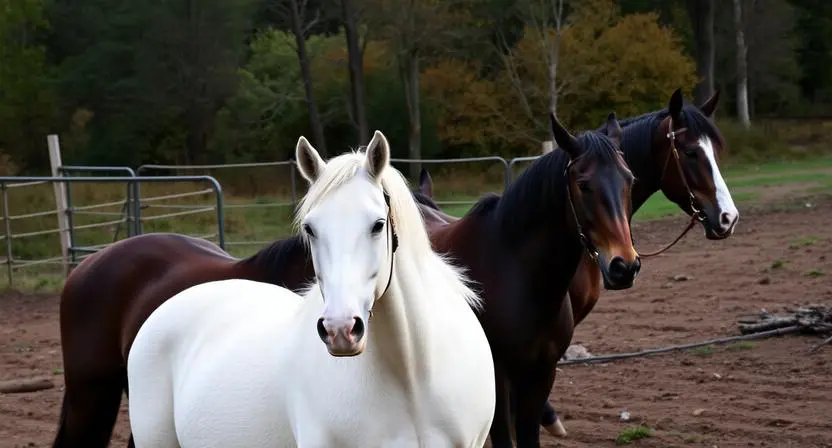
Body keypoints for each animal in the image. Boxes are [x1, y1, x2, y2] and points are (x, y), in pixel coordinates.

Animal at [416, 88, 739, 439]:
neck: (514, 271)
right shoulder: (499, 378)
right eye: (691, 152)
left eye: (630, 179)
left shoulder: (542, 372)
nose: (728, 217)